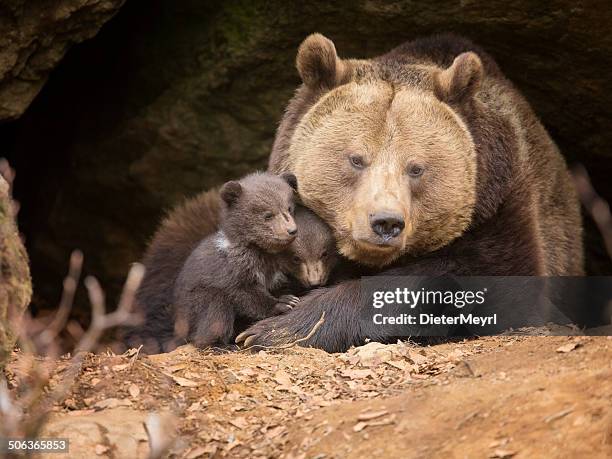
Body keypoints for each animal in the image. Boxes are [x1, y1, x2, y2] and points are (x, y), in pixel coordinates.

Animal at [131, 34, 580, 354]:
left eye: (416, 167)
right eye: (356, 159)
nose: (385, 222)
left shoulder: (500, 201)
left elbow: (489, 278)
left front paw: (279, 328)